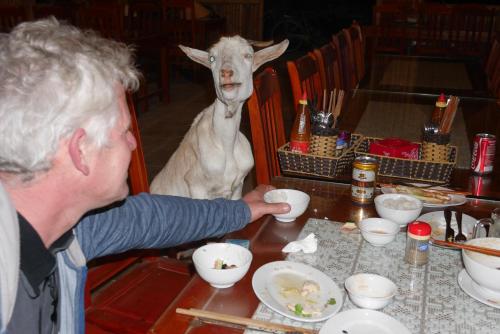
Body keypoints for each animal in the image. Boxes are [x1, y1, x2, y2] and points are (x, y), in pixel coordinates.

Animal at [150, 36, 288, 198]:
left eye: (248, 55)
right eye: (212, 58)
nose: (226, 73)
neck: (226, 145)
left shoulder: (237, 187)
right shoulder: (196, 186)